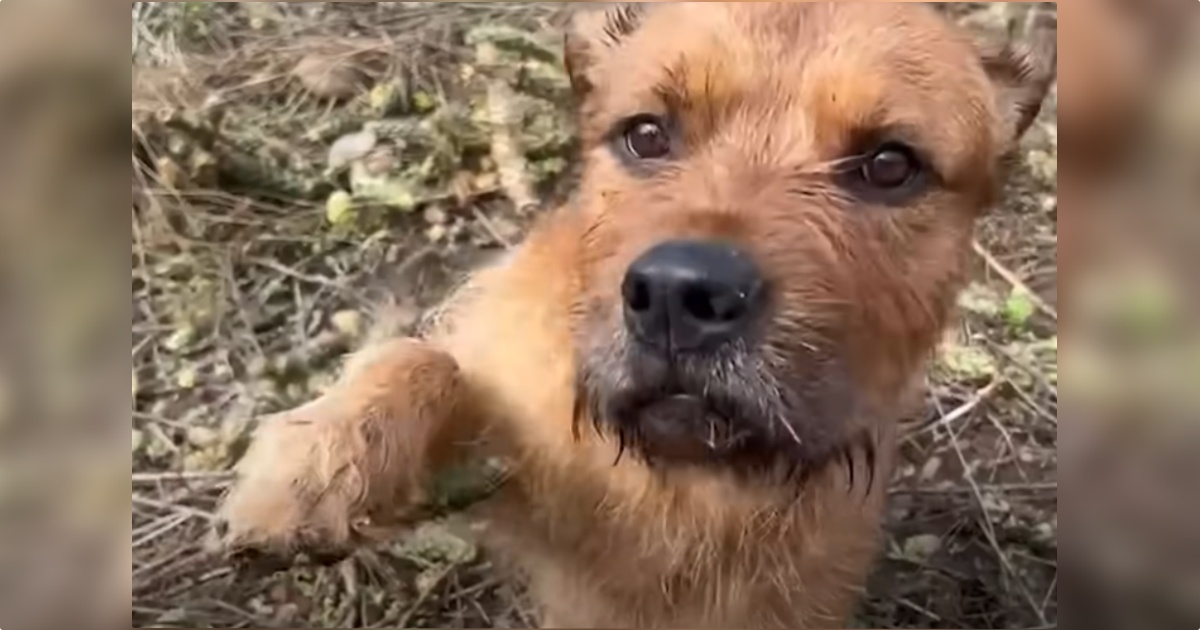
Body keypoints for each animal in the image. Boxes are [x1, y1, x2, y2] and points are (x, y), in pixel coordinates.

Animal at [216, 3, 1051, 624]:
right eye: (647, 133)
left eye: (889, 165)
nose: (681, 295)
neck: (683, 480)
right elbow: (423, 359)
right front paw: (313, 461)